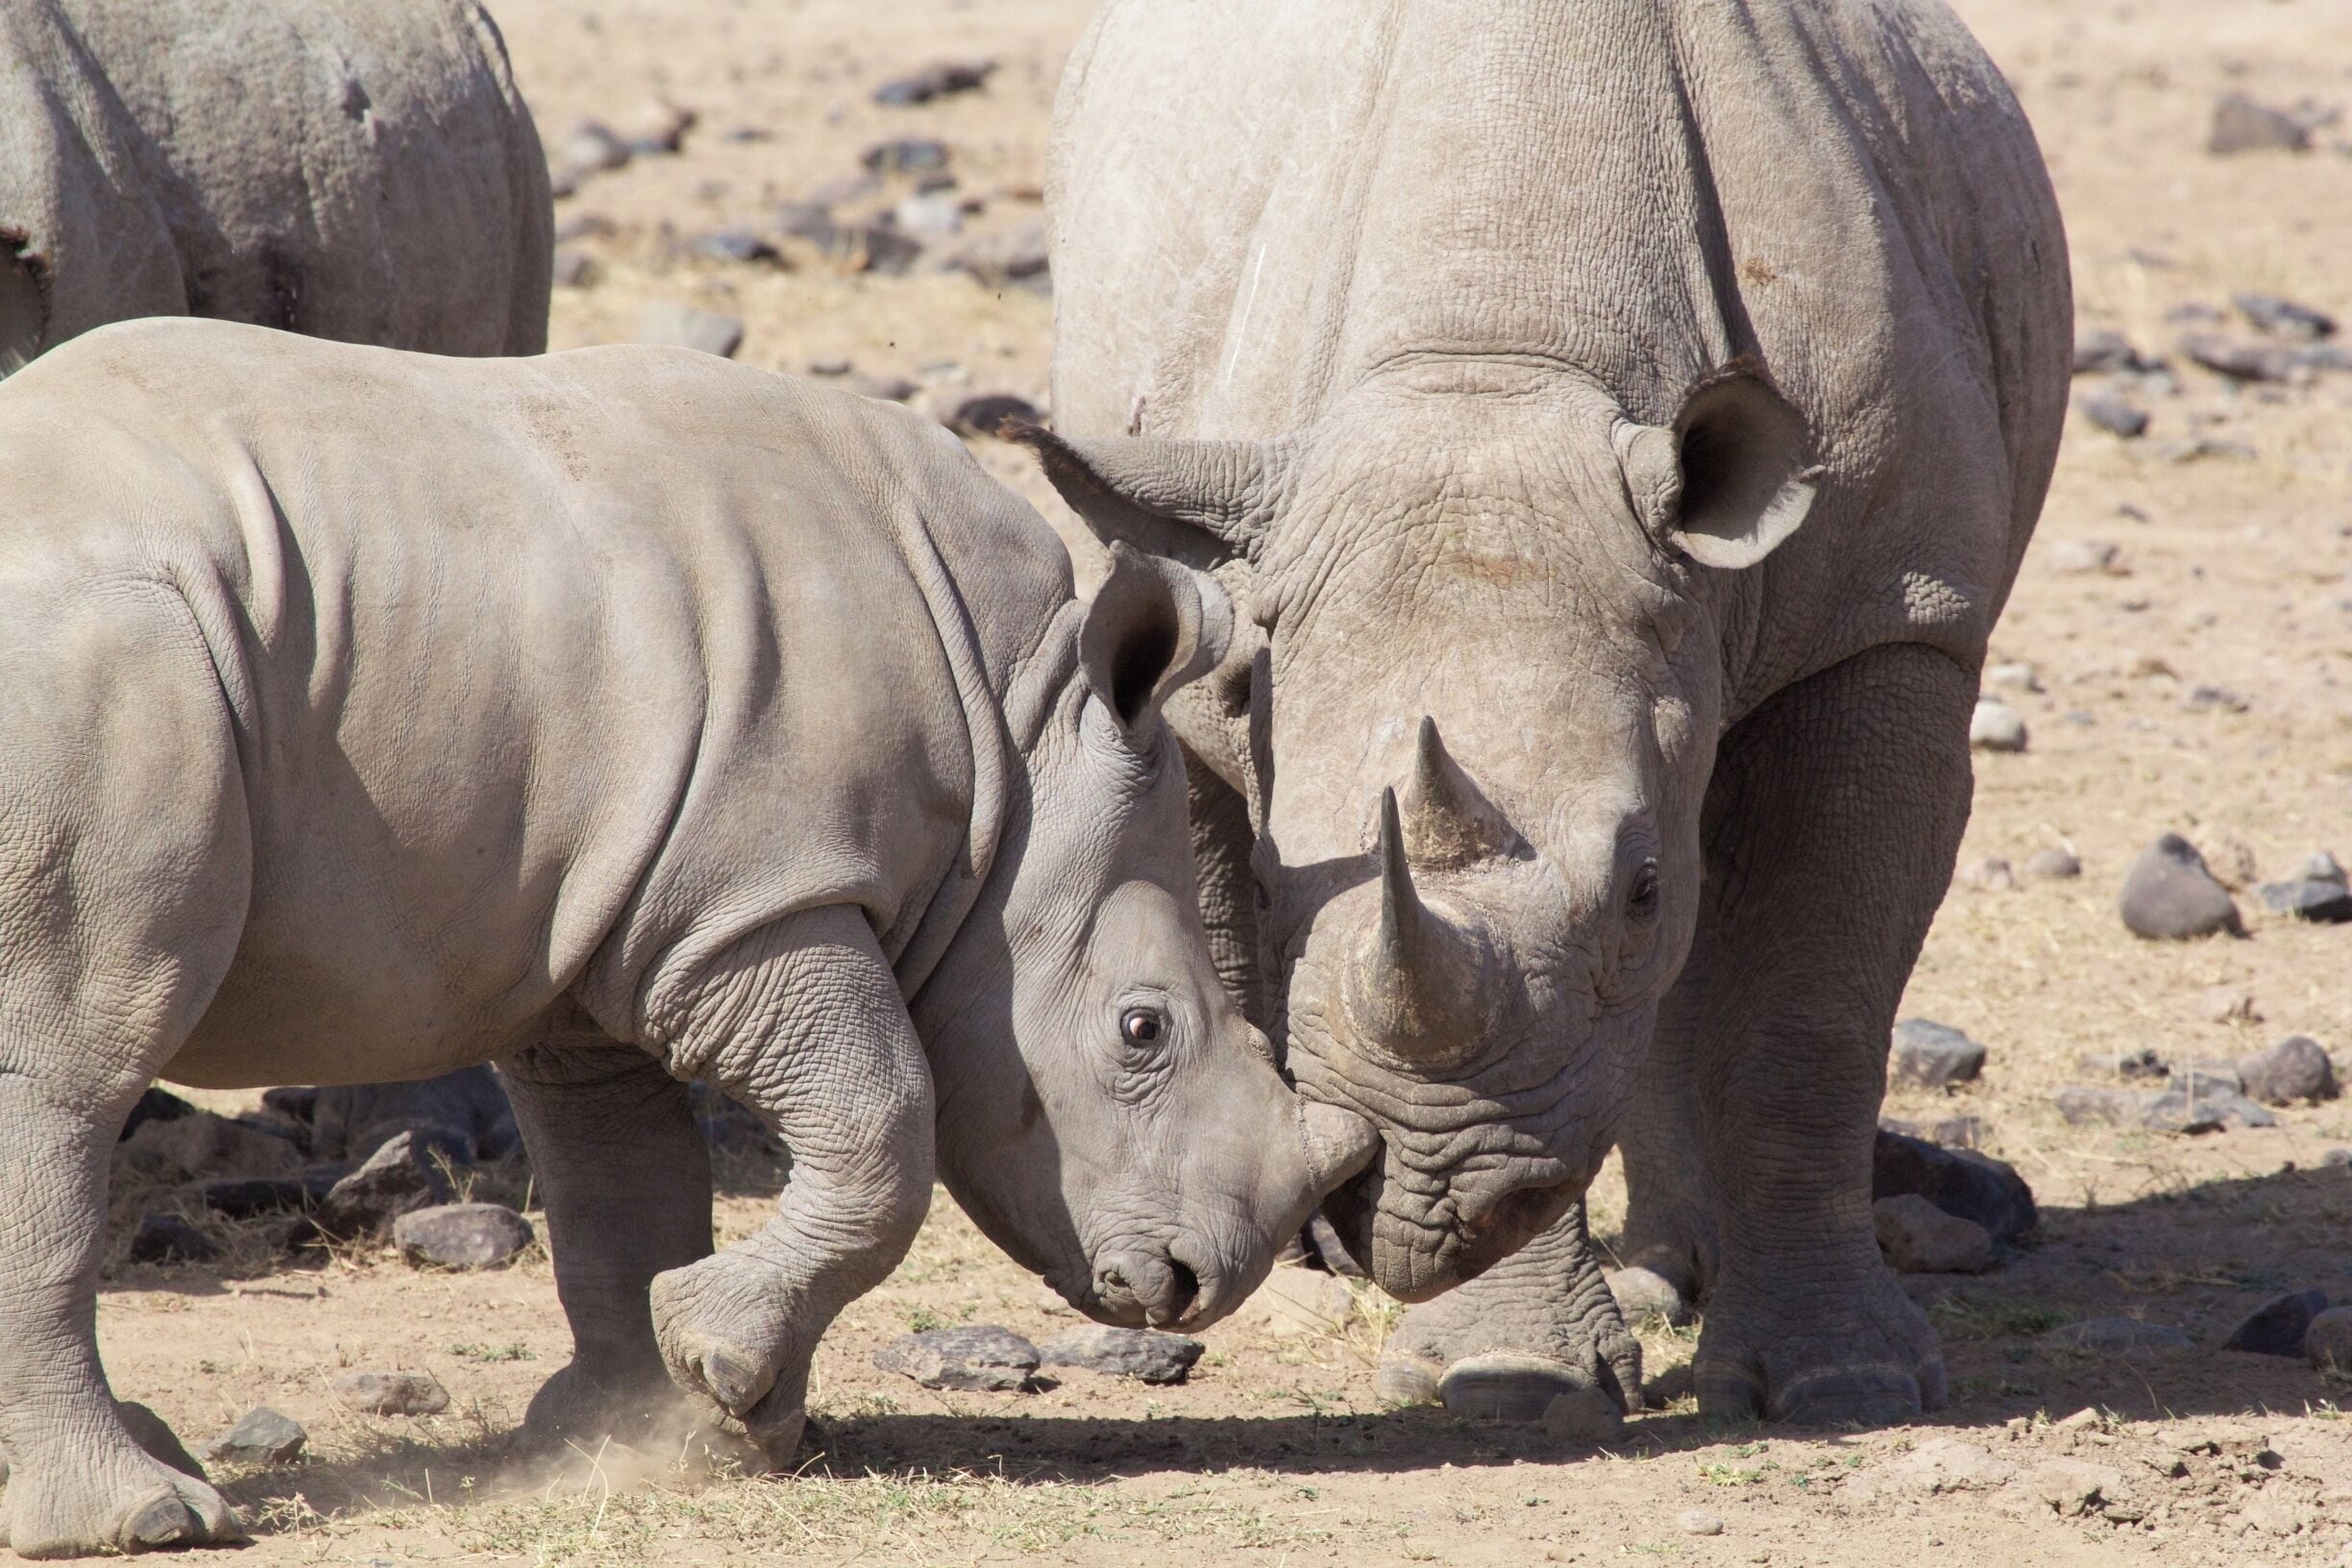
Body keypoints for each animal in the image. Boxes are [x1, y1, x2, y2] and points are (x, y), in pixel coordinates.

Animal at [0, 318, 1375, 1557]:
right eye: (1142, 1031)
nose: (1196, 1286)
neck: (1019, 751)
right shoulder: (754, 904)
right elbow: (886, 1117)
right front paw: (718, 1368)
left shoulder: (607, 930)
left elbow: (624, 1175)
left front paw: (650, 1434)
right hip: (114, 675)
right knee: (70, 1079)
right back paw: (150, 1520)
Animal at [1029, 0, 2069, 1427]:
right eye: (1292, 892)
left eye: (1640, 889)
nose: (1435, 1201)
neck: (1503, 365)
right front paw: (1507, 1380)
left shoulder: (1893, 612)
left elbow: (1810, 1011)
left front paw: (1845, 1382)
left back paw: (1677, 1271)